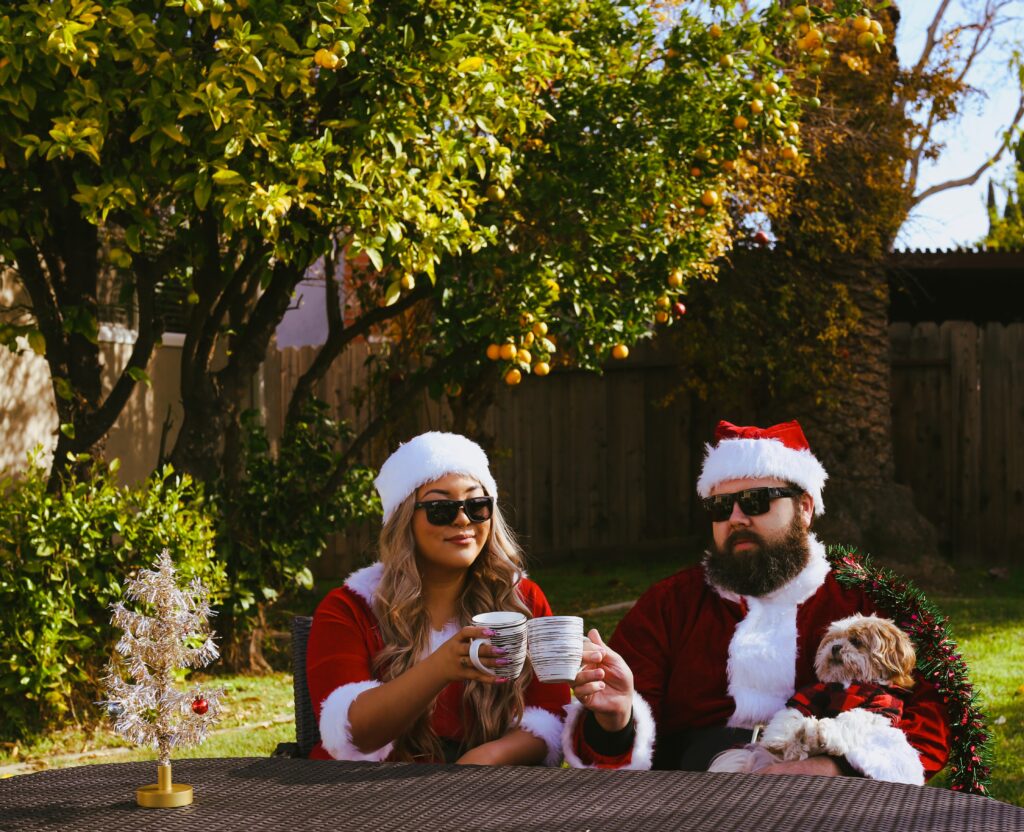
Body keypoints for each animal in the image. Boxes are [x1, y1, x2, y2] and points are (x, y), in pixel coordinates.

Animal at [708, 614, 917, 778]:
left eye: (856, 641)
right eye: (833, 639)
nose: (835, 647)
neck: (848, 683)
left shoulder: (880, 708)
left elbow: (851, 719)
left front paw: (826, 732)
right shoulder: (809, 695)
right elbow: (791, 716)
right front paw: (777, 739)